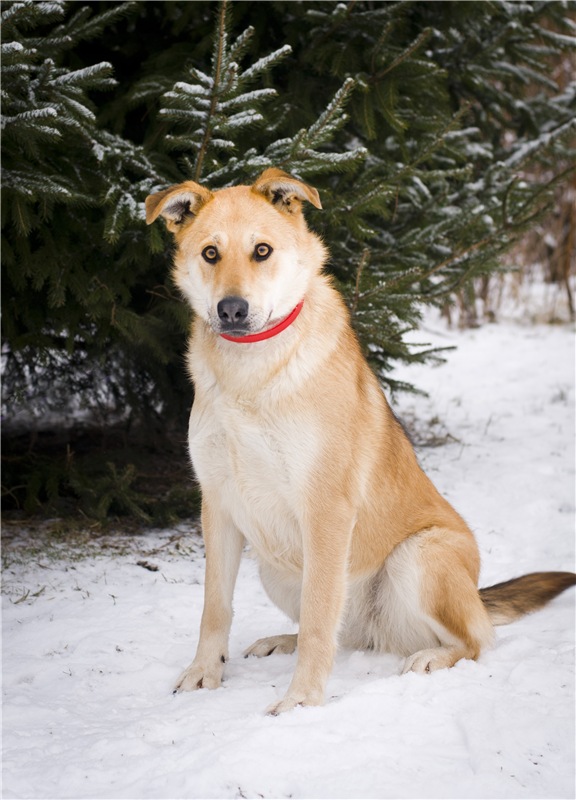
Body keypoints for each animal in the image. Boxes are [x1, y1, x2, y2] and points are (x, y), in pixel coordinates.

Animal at [146, 168, 575, 715]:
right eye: (210, 253)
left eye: (262, 251)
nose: (232, 310)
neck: (252, 374)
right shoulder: (218, 505)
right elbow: (215, 607)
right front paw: (205, 672)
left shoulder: (325, 509)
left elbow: (318, 619)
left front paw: (302, 701)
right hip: (275, 567)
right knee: (342, 632)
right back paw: (281, 641)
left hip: (418, 557)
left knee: (474, 640)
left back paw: (431, 657)